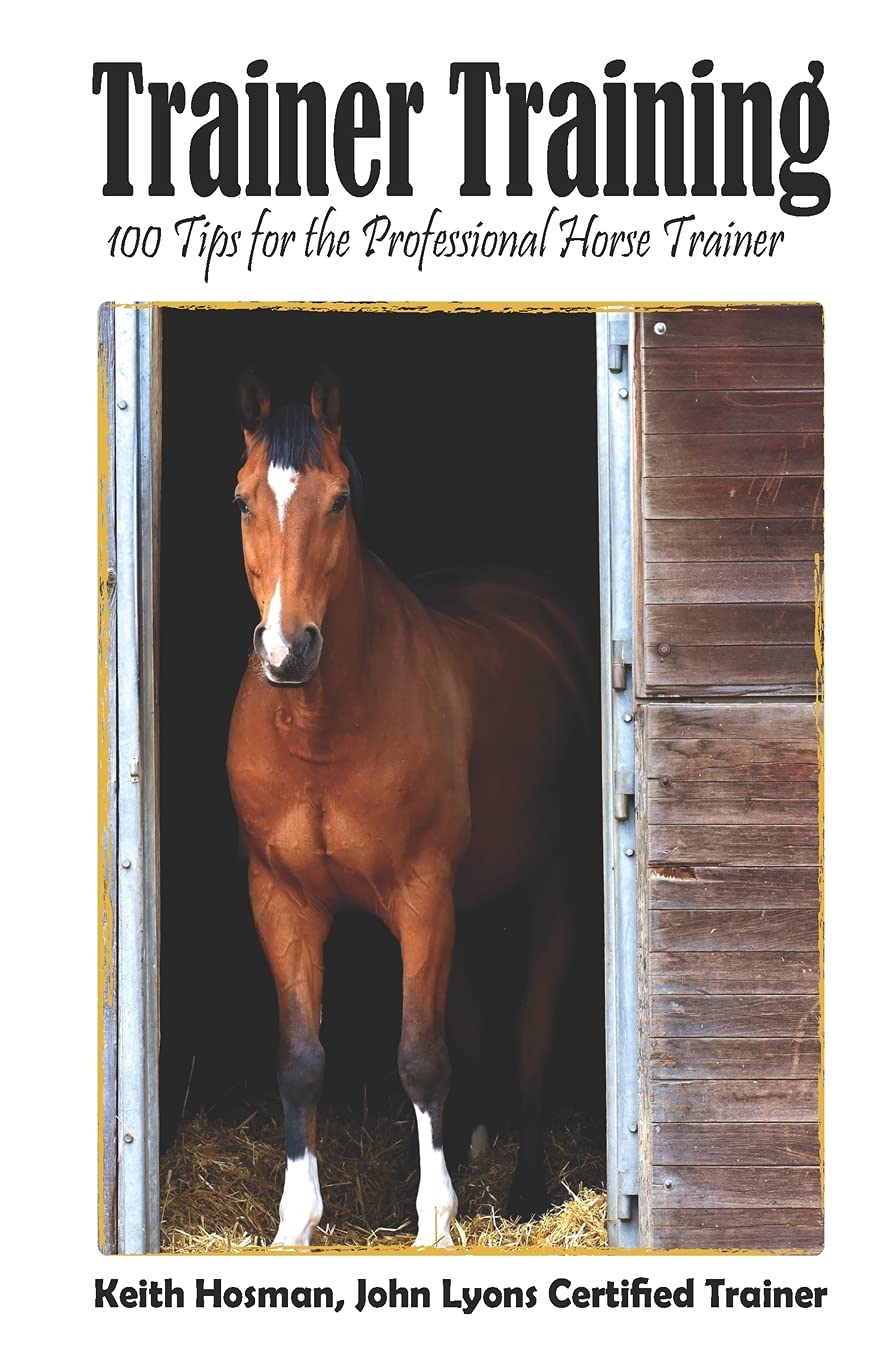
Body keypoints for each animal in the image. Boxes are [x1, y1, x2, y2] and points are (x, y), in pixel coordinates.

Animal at [226, 371, 593, 1247]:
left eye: (338, 500)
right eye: (243, 500)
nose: (287, 650)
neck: (322, 732)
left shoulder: (422, 894)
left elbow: (421, 1057)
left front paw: (435, 1220)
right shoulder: (280, 900)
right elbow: (300, 1060)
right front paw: (295, 1222)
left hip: (549, 889)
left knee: (531, 1031)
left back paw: (524, 1188)